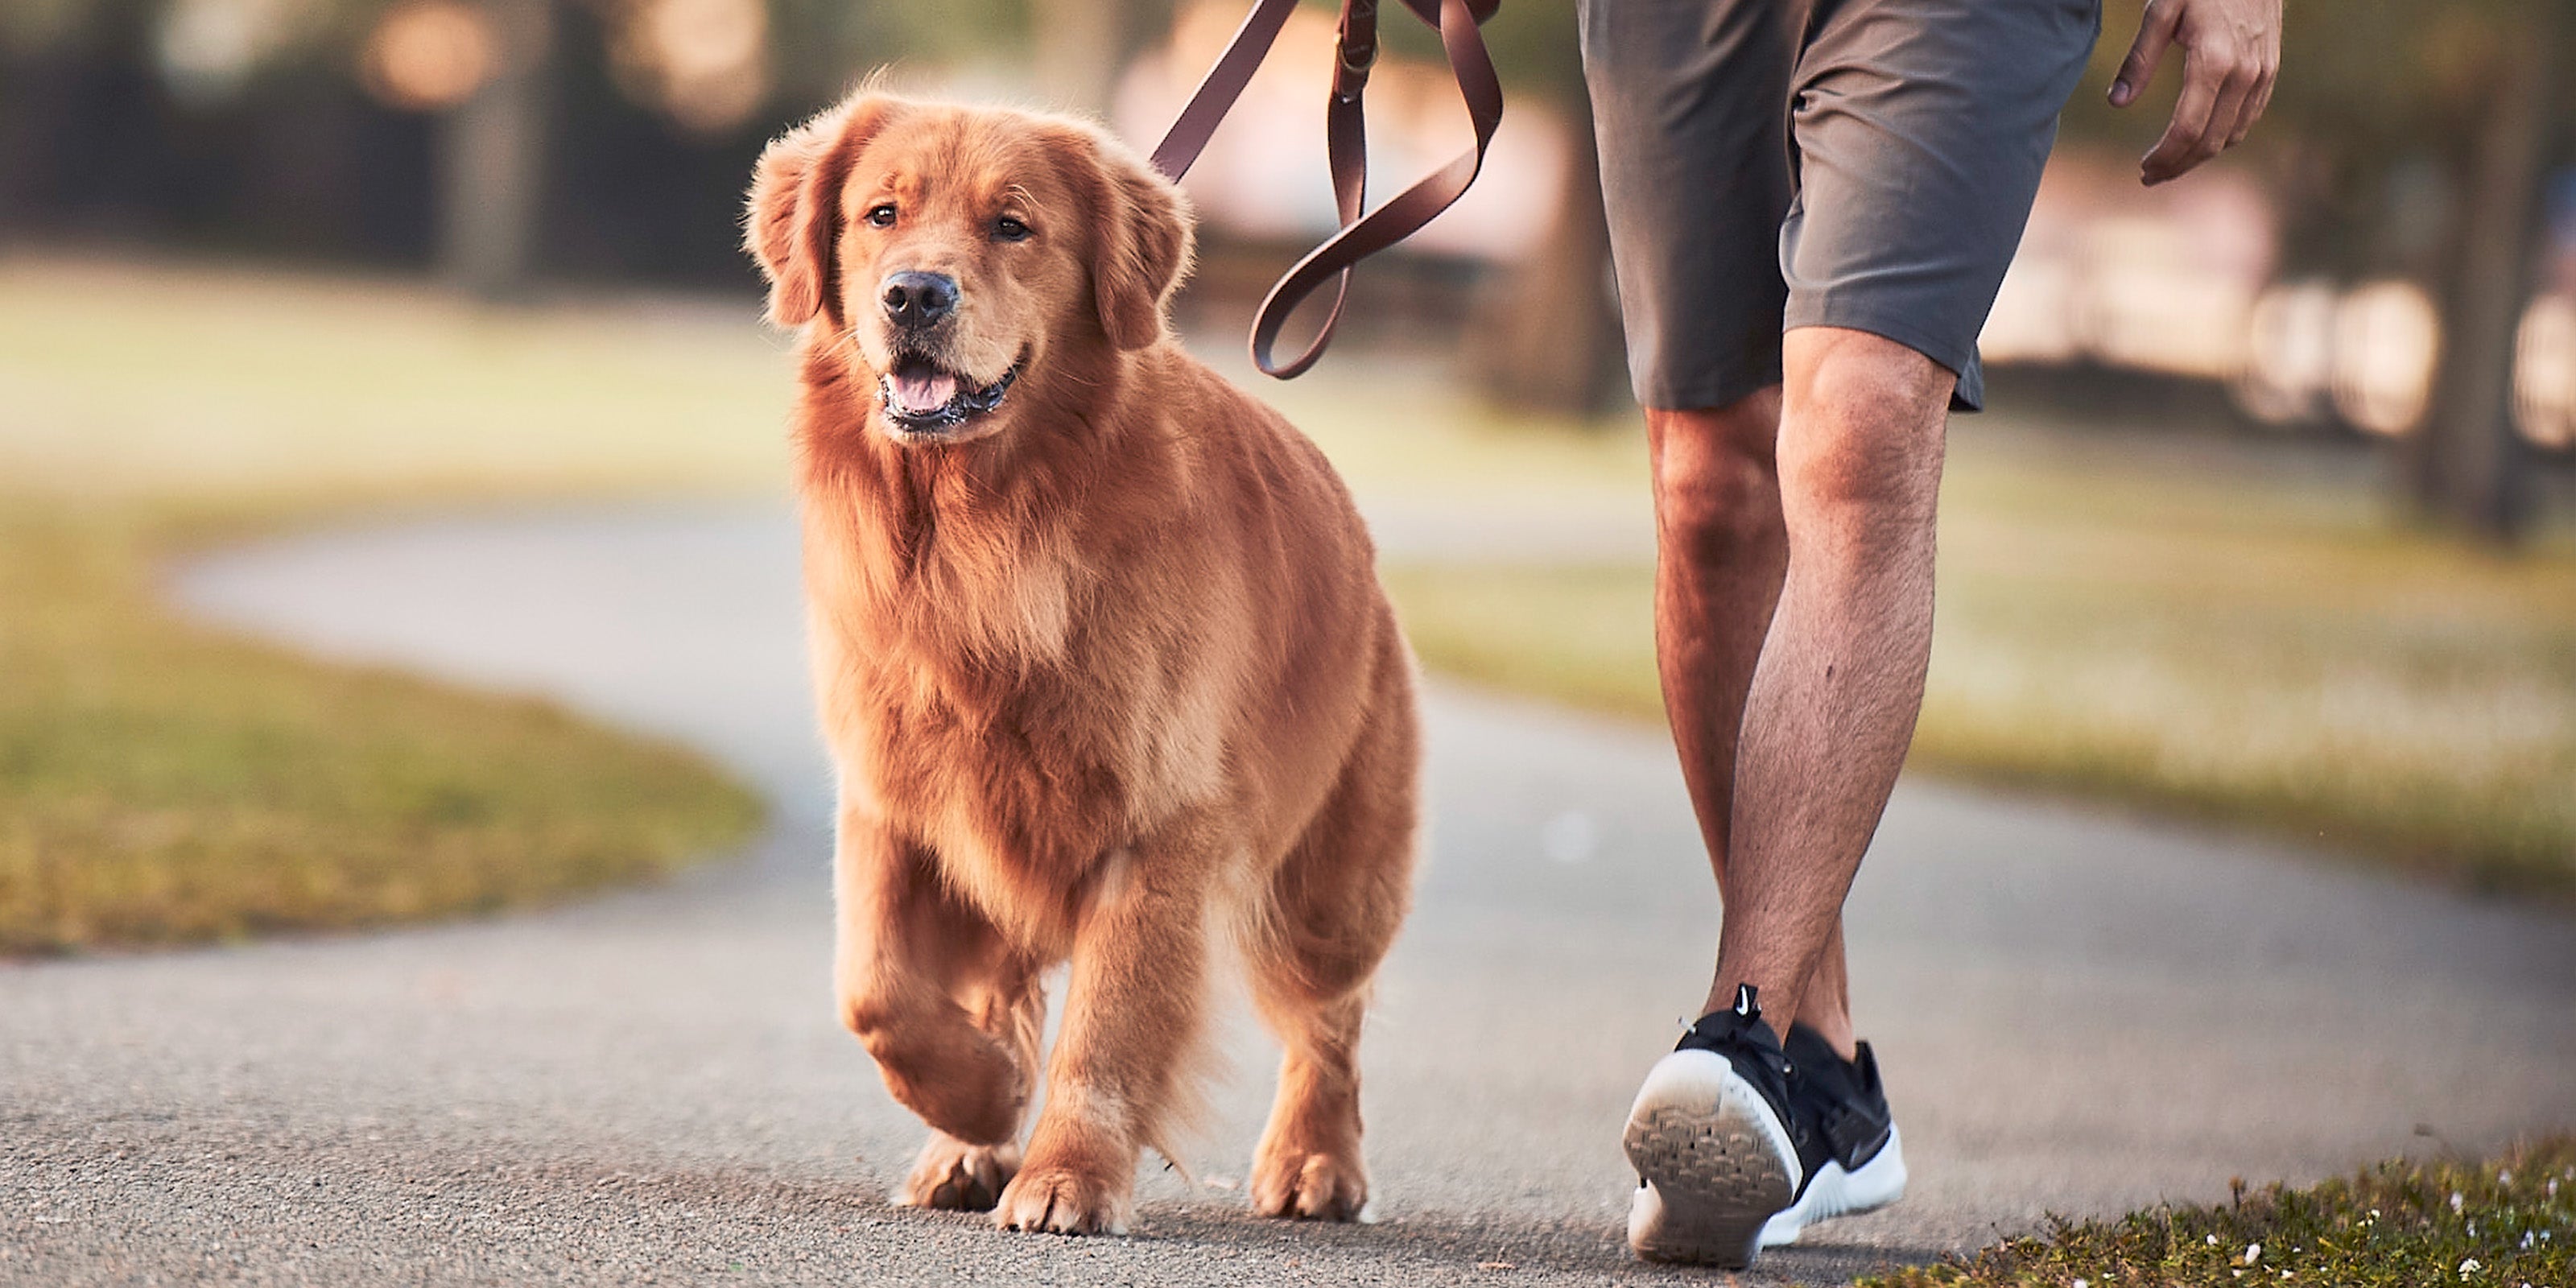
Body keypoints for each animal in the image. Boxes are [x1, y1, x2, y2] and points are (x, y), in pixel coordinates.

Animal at [747, 93, 1432, 1236]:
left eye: (1011, 226)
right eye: (881, 214)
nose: (914, 294)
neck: (977, 535)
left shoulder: (1155, 827)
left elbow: (1107, 1031)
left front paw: (1064, 1172)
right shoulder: (891, 796)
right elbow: (876, 990)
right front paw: (982, 1100)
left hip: (1326, 891)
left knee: (1328, 1021)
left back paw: (1313, 1160)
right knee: (1004, 985)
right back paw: (966, 1147)